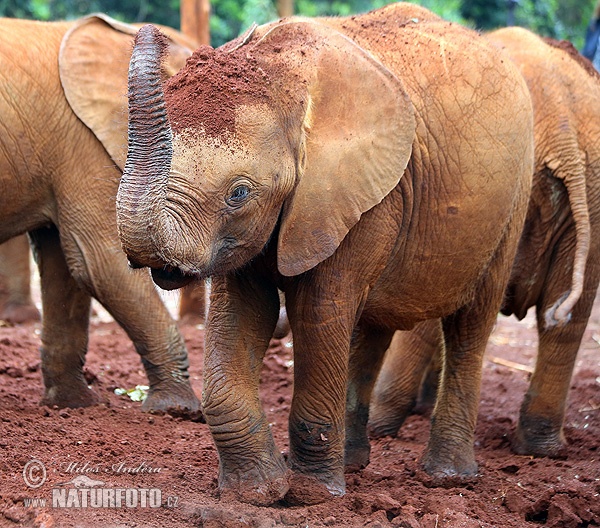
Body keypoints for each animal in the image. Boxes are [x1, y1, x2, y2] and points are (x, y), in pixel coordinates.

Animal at [0, 14, 202, 414]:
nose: (152, 34)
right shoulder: (84, 143)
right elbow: (102, 264)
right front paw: (178, 410)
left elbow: (67, 266)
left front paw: (73, 406)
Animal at [116, 4, 536, 506]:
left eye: (239, 193)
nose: (153, 35)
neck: (284, 76)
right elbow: (242, 312)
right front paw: (259, 492)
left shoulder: (363, 197)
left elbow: (317, 311)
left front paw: (312, 495)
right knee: (373, 325)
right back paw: (353, 464)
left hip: (513, 200)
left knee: (471, 323)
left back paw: (447, 478)